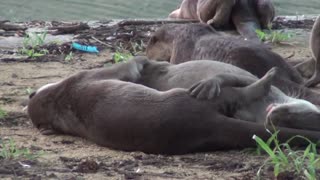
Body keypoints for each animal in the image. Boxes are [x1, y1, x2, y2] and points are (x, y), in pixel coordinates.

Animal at [28, 57, 320, 154]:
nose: (275, 116)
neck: (58, 98)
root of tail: (203, 125)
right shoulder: (87, 76)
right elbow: (132, 63)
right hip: (187, 99)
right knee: (236, 92)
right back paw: (266, 78)